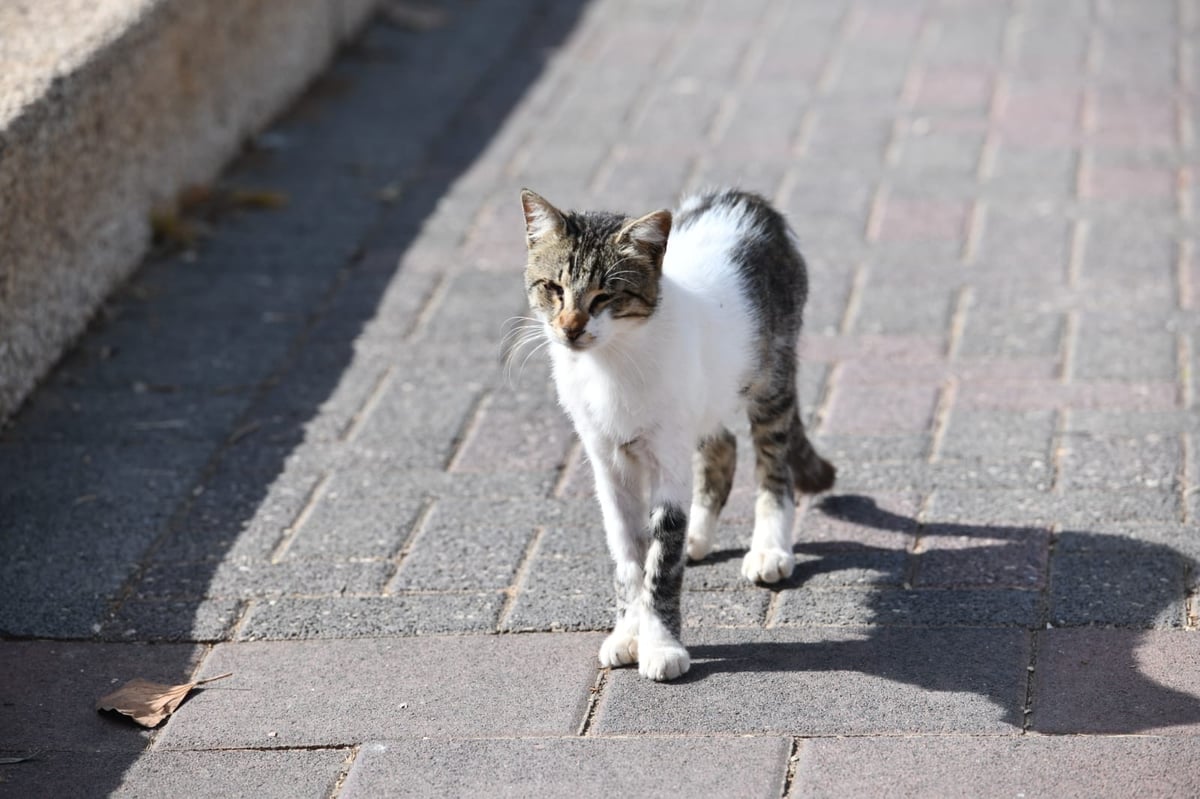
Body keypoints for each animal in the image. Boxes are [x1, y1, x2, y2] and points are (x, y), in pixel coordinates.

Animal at [516, 187, 835, 676]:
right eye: (553, 288)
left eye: (605, 295)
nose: (570, 329)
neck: (611, 364)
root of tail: (746, 198)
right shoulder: (608, 464)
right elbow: (628, 558)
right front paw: (628, 634)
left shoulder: (668, 455)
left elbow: (661, 562)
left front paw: (661, 645)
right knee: (722, 445)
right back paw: (698, 537)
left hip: (771, 379)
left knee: (772, 465)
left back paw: (769, 549)